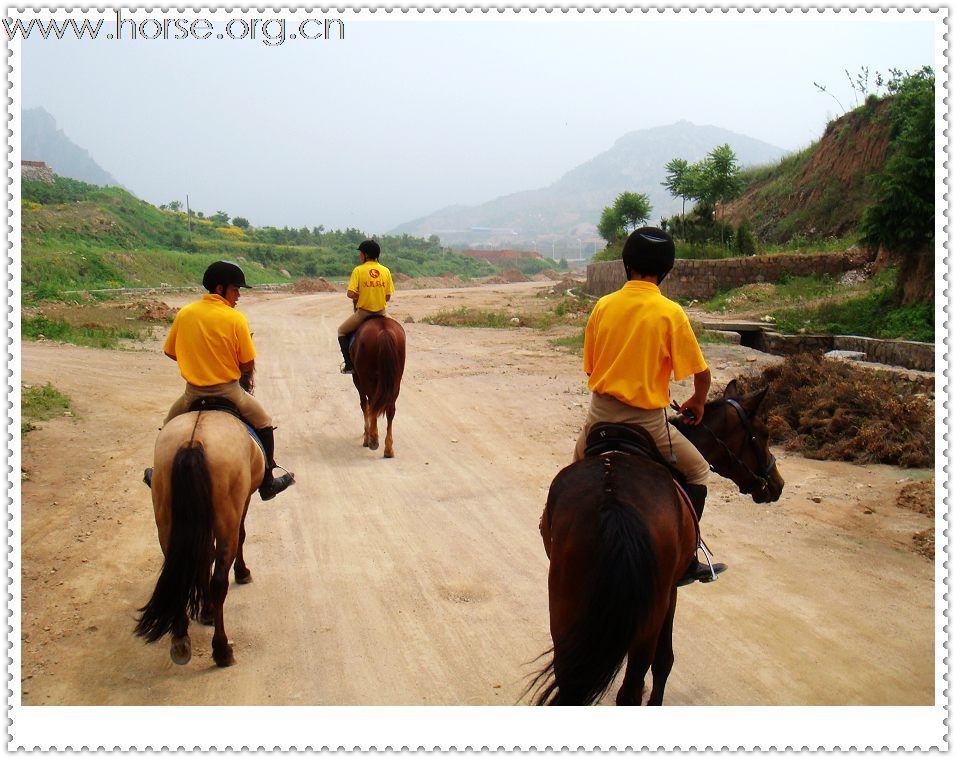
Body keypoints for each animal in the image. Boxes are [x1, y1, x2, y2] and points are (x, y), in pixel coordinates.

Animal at [133, 412, 264, 668]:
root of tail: (192, 443)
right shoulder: (243, 502)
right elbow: (241, 536)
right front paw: (242, 573)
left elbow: (204, 556)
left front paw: (205, 611)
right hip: (227, 518)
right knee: (219, 581)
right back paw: (222, 649)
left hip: (166, 519)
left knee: (180, 569)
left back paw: (181, 638)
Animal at [352, 316, 408, 458]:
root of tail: (384, 331)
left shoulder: (358, 380)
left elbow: (364, 405)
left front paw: (367, 437)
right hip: (395, 381)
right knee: (390, 409)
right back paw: (388, 449)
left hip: (367, 379)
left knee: (372, 404)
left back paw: (373, 440)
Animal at [532, 382, 784, 708]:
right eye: (762, 433)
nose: (777, 484)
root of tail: (613, 500)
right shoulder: (671, 593)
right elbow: (665, 661)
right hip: (648, 613)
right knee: (631, 689)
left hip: (565, 601)